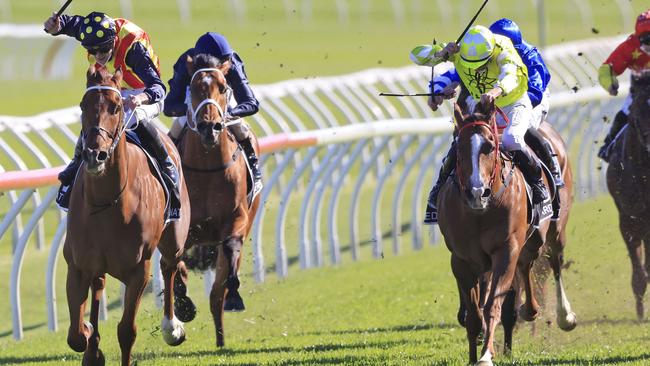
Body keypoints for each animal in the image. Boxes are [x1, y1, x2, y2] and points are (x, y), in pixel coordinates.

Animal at [63, 66, 190, 366]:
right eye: (83, 105)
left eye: (116, 106)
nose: (94, 155)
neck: (106, 203)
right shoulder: (77, 265)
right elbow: (76, 335)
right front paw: (91, 342)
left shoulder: (138, 270)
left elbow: (126, 331)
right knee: (98, 285)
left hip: (174, 237)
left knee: (170, 266)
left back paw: (172, 326)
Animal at [173, 53, 262, 348]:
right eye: (193, 87)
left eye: (223, 88)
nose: (209, 127)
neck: (207, 168)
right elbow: (177, 266)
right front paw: (183, 305)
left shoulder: (236, 219)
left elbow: (231, 250)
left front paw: (234, 295)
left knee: (216, 295)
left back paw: (221, 338)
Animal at [438, 103, 576, 366]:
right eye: (459, 149)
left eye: (489, 146)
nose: (476, 192)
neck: (480, 213)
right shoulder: (460, 259)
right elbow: (474, 315)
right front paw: (474, 354)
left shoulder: (505, 249)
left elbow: (493, 305)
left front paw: (486, 356)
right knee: (526, 265)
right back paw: (528, 310)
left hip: (554, 229)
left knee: (554, 261)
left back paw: (564, 316)